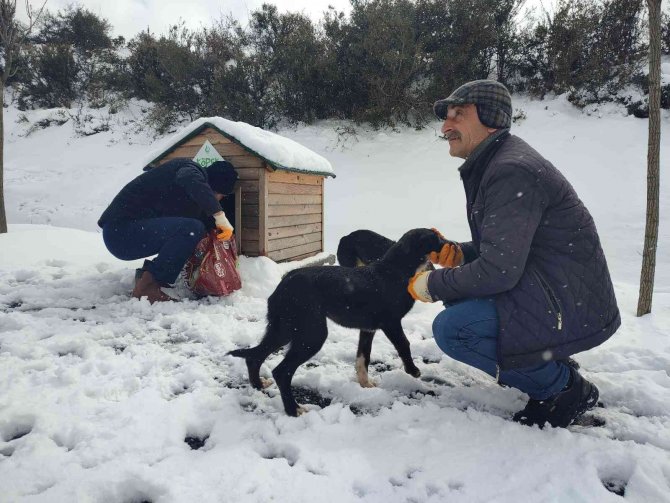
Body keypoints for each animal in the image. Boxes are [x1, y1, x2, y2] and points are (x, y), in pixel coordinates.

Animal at [228, 229, 448, 418]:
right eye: (437, 239)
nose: (452, 244)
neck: (396, 270)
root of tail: (283, 284)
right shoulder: (391, 323)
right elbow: (404, 344)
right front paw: (413, 370)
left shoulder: (368, 329)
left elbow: (362, 358)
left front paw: (365, 385)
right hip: (312, 334)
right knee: (281, 371)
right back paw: (293, 410)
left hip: (284, 329)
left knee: (255, 356)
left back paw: (258, 386)